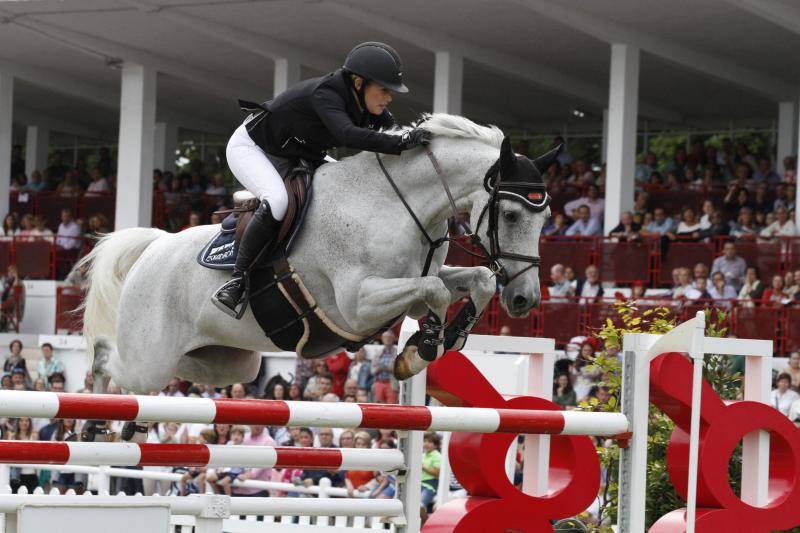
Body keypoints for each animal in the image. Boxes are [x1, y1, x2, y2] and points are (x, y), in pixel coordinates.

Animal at [83, 113, 556, 394]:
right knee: (111, 358)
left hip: (226, 364)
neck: (391, 203)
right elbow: (435, 291)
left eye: (547, 216)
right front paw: (422, 348)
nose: (525, 300)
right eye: (511, 214)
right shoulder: (357, 304)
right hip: (150, 361)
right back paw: (99, 408)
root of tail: (155, 247)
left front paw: (442, 339)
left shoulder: (414, 282)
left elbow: (476, 279)